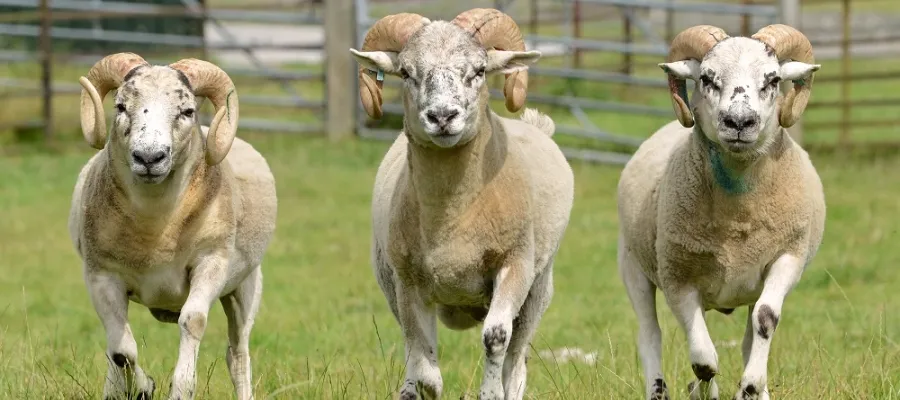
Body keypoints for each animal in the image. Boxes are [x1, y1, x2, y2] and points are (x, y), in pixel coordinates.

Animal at [68, 53, 277, 400]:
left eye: (187, 110)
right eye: (121, 106)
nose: (149, 157)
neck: (156, 229)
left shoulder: (211, 262)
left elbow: (192, 322)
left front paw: (180, 389)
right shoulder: (101, 276)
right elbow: (121, 349)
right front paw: (143, 387)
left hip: (245, 286)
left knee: (237, 354)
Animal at [349, 8, 574, 400]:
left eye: (479, 70)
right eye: (406, 72)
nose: (442, 116)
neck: (453, 219)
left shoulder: (515, 265)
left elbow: (496, 338)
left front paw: (490, 392)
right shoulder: (408, 283)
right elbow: (423, 364)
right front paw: (422, 385)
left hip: (539, 288)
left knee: (516, 362)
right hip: (388, 280)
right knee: (410, 345)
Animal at [616, 24, 826, 400]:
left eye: (773, 80)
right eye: (706, 78)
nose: (739, 121)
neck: (738, 215)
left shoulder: (788, 256)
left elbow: (765, 320)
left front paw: (751, 386)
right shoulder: (677, 276)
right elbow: (703, 359)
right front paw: (703, 389)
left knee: (747, 338)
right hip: (633, 265)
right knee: (650, 335)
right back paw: (662, 390)